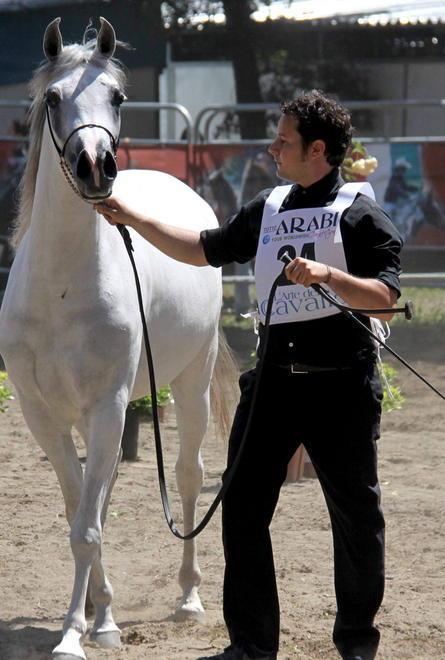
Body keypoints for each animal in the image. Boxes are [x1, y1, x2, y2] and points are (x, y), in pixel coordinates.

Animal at [0, 17, 235, 659]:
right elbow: (80, 511)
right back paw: (105, 610)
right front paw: (94, 618)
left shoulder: (108, 406)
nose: (95, 168)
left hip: (190, 383)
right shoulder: (43, 415)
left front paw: (72, 636)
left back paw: (188, 599)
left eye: (119, 97)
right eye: (53, 99)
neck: (61, 288)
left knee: (187, 477)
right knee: (100, 493)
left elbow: (86, 526)